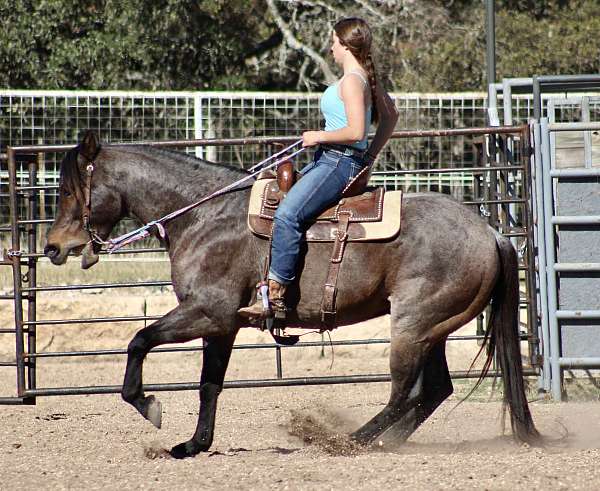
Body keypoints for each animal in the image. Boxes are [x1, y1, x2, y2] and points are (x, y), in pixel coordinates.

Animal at [44, 132, 540, 462]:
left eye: (68, 189)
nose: (52, 247)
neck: (204, 216)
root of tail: (492, 233)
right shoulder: (222, 326)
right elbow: (209, 384)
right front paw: (193, 445)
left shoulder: (206, 312)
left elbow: (139, 341)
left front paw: (150, 406)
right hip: (431, 329)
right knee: (434, 389)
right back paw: (384, 441)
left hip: (412, 326)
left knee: (405, 391)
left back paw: (346, 441)